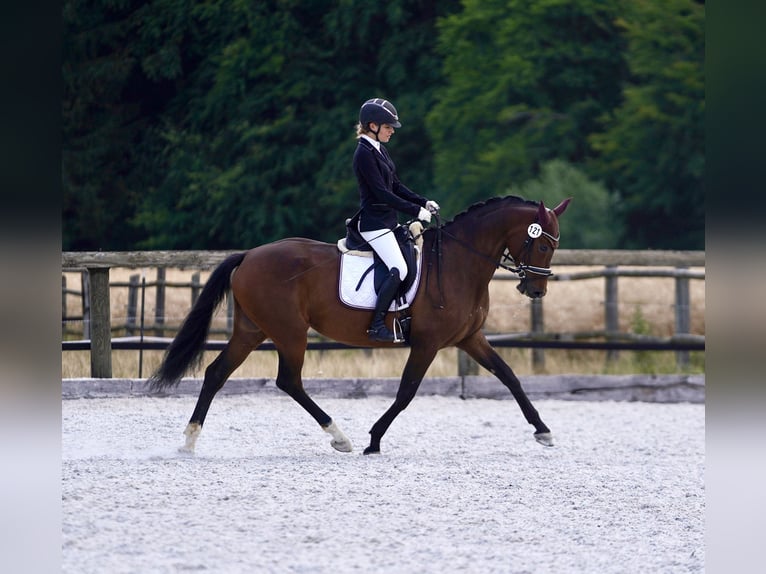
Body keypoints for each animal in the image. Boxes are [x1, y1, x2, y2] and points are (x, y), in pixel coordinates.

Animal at [150, 196, 568, 456]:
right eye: (543, 245)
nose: (536, 290)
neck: (457, 263)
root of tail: (249, 255)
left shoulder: (470, 339)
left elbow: (510, 377)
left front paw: (543, 431)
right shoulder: (428, 343)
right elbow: (406, 392)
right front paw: (374, 440)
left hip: (253, 330)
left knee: (217, 373)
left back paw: (188, 441)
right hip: (289, 333)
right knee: (289, 381)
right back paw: (340, 438)